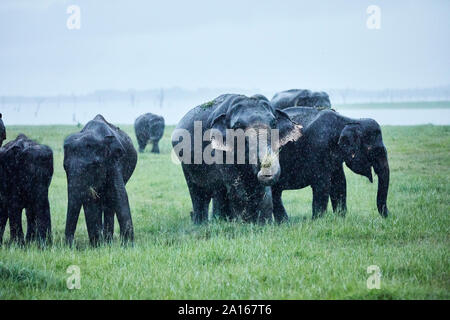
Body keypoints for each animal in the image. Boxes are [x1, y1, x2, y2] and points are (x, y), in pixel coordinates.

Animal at [63, 114, 137, 246]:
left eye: (93, 166)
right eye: (65, 167)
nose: (70, 245)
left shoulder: (114, 162)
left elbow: (119, 194)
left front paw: (128, 246)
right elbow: (91, 200)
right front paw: (97, 245)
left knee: (110, 201)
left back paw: (108, 241)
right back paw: (105, 242)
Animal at [172, 92, 302, 224]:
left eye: (274, 123)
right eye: (237, 127)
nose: (263, 169)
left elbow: (262, 189)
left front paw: (263, 224)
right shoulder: (220, 152)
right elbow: (235, 185)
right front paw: (241, 224)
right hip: (186, 165)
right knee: (199, 194)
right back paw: (202, 224)